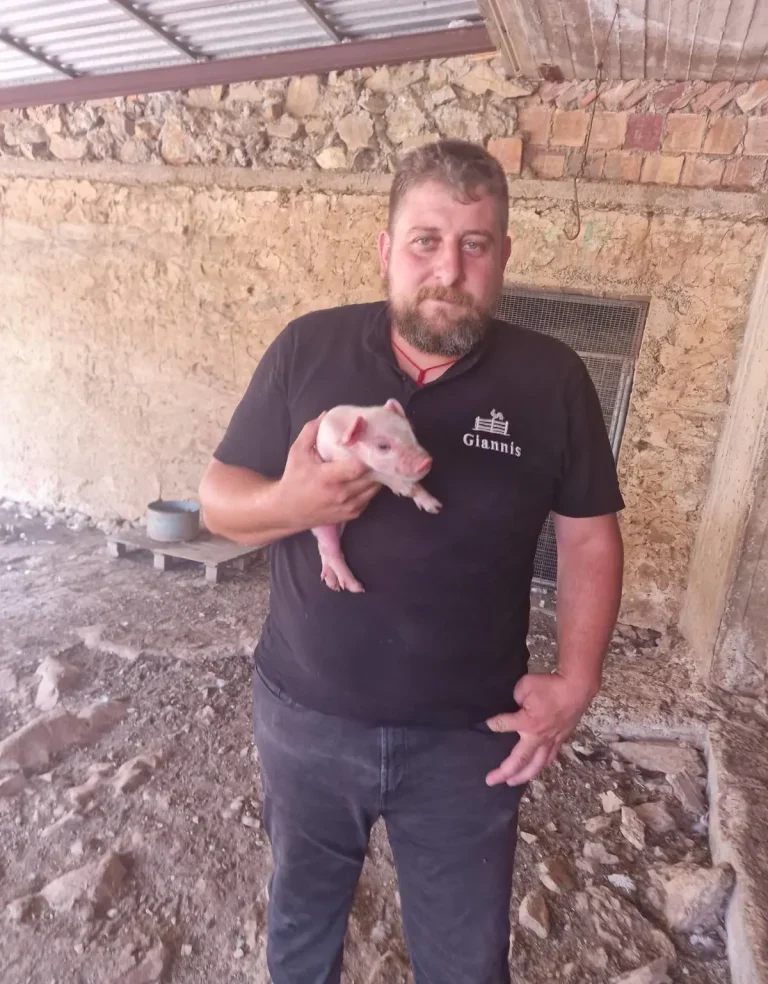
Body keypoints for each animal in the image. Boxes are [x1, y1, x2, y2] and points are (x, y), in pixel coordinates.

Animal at [312, 399, 442, 593]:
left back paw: (333, 583)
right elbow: (377, 473)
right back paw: (356, 587)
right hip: (322, 521)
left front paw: (436, 508)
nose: (426, 461)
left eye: (410, 430)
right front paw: (405, 489)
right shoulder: (343, 461)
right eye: (382, 446)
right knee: (329, 548)